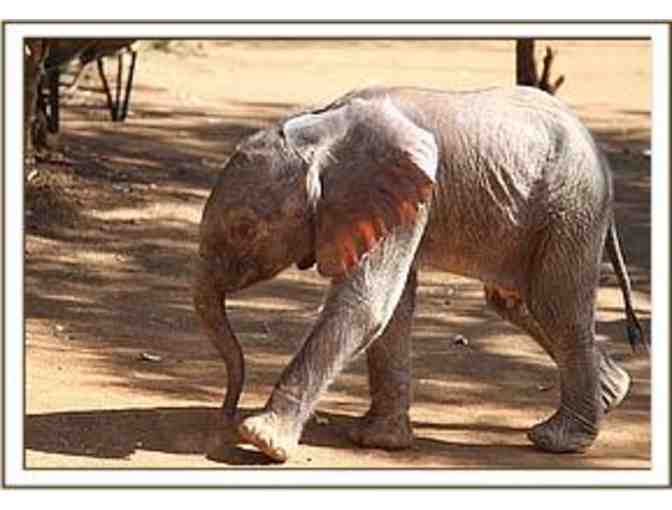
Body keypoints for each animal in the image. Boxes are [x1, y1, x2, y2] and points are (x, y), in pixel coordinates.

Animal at [193, 85, 647, 462]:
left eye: (243, 229)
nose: (225, 413)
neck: (322, 131)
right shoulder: (397, 203)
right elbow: (392, 310)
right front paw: (377, 441)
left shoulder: (397, 194)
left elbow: (366, 303)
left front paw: (260, 439)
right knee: (516, 301)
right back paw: (612, 394)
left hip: (573, 205)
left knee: (555, 307)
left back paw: (558, 440)